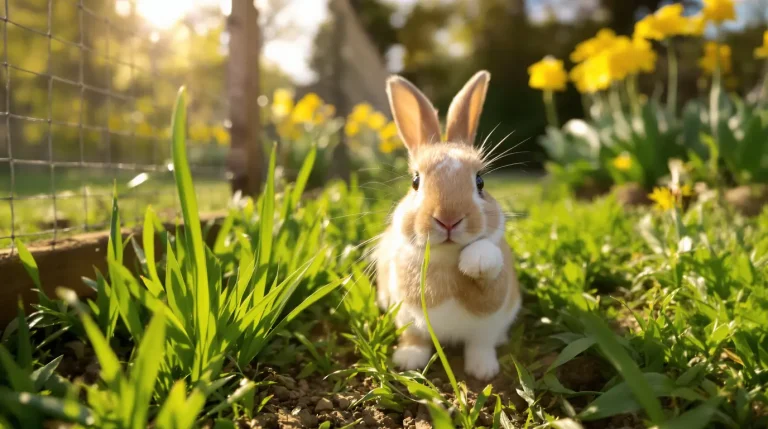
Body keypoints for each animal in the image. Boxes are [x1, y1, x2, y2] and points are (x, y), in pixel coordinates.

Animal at [375, 70, 522, 381]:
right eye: (415, 181)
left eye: (480, 182)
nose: (448, 218)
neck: (444, 257)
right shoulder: (407, 316)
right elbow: (414, 338)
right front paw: (408, 361)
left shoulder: (489, 317)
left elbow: (480, 342)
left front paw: (484, 371)